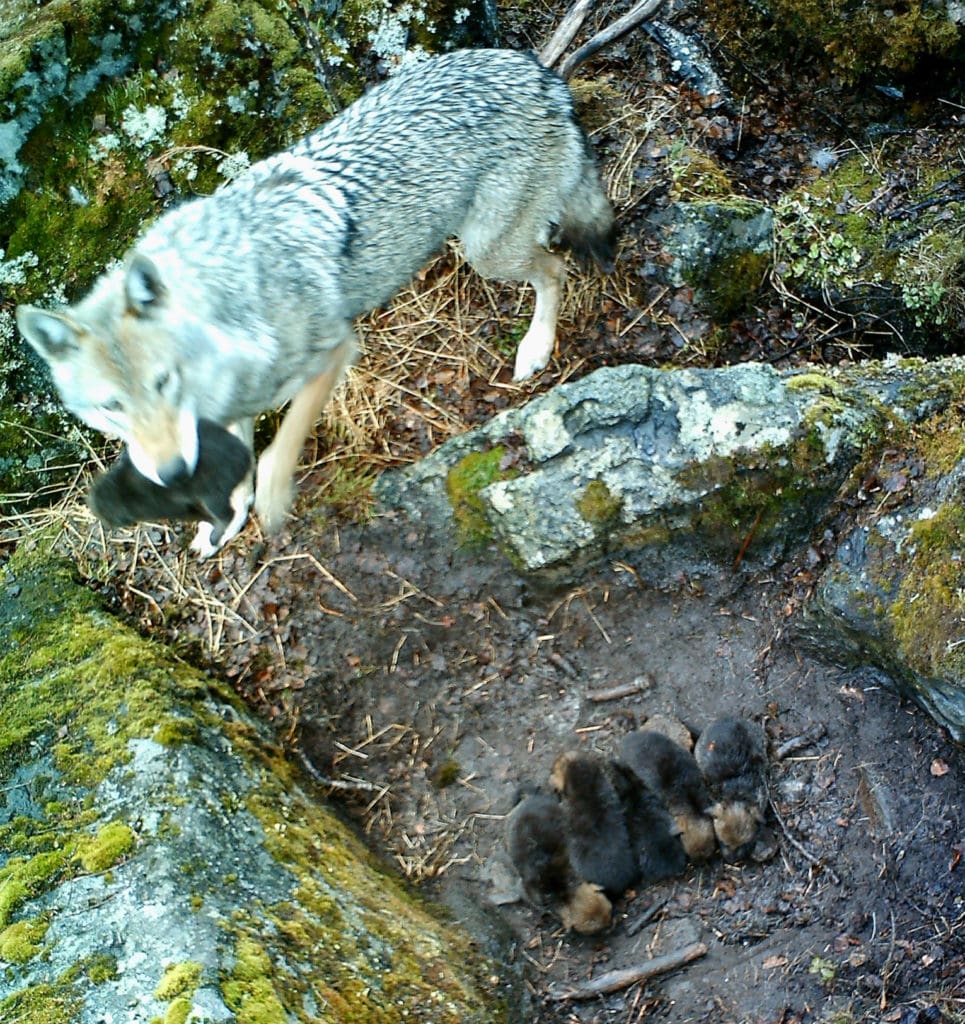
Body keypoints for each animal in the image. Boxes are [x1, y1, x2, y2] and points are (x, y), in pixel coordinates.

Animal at [87, 415, 253, 548]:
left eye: (112, 519)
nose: (107, 526)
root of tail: (245, 456)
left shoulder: (170, 507)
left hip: (214, 493)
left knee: (228, 513)